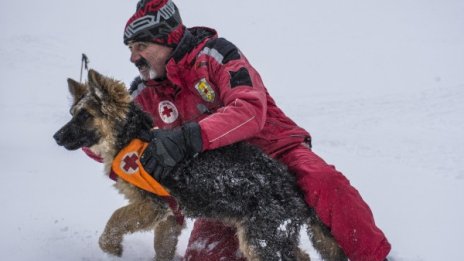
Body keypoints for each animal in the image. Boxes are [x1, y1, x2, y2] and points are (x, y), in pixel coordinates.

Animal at [53, 69, 344, 260]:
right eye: (72, 114)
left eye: (84, 116)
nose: (56, 137)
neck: (132, 136)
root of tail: (294, 187)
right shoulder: (170, 215)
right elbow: (163, 245)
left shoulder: (152, 206)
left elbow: (115, 219)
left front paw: (112, 248)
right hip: (273, 236)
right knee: (302, 256)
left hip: (259, 240)